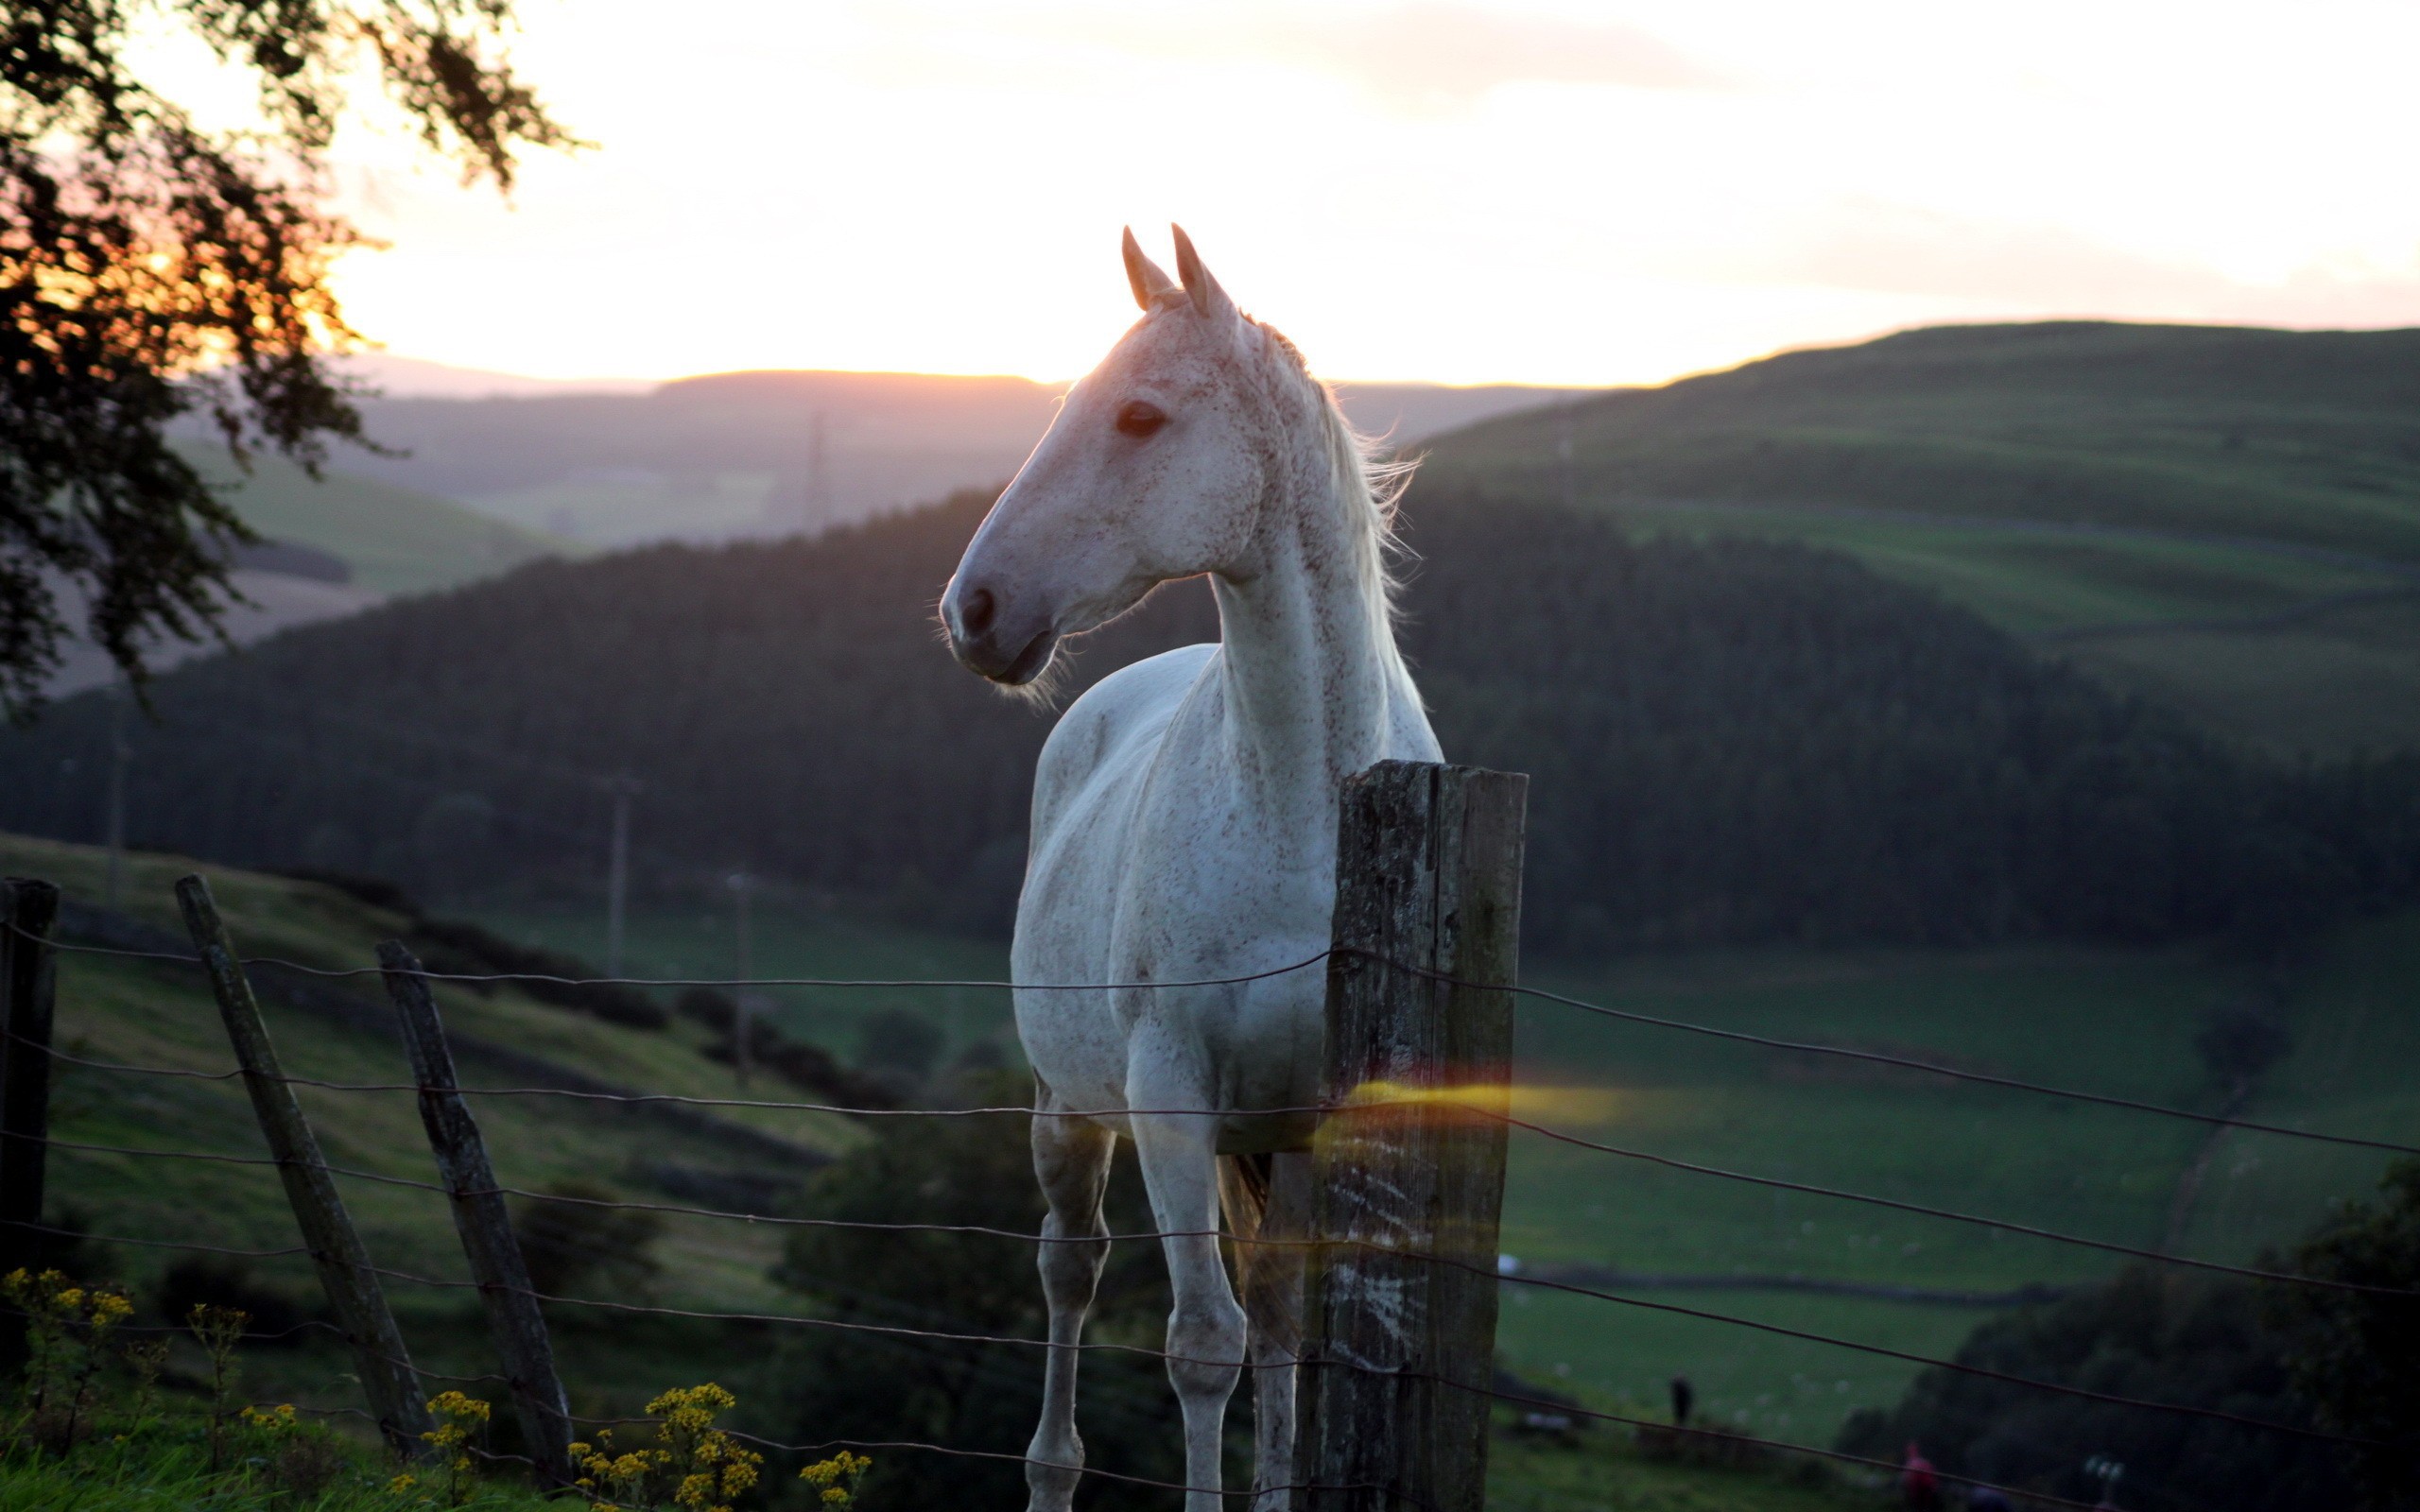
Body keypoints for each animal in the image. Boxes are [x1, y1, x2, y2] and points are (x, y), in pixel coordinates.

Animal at [941, 227, 1442, 1512]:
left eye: (1139, 416)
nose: (974, 610)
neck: (1306, 808)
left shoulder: (1318, 1120)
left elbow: (1282, 1333)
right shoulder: (1168, 1096)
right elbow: (1202, 1345)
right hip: (1071, 1111)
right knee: (1069, 1269)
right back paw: (1051, 1474)